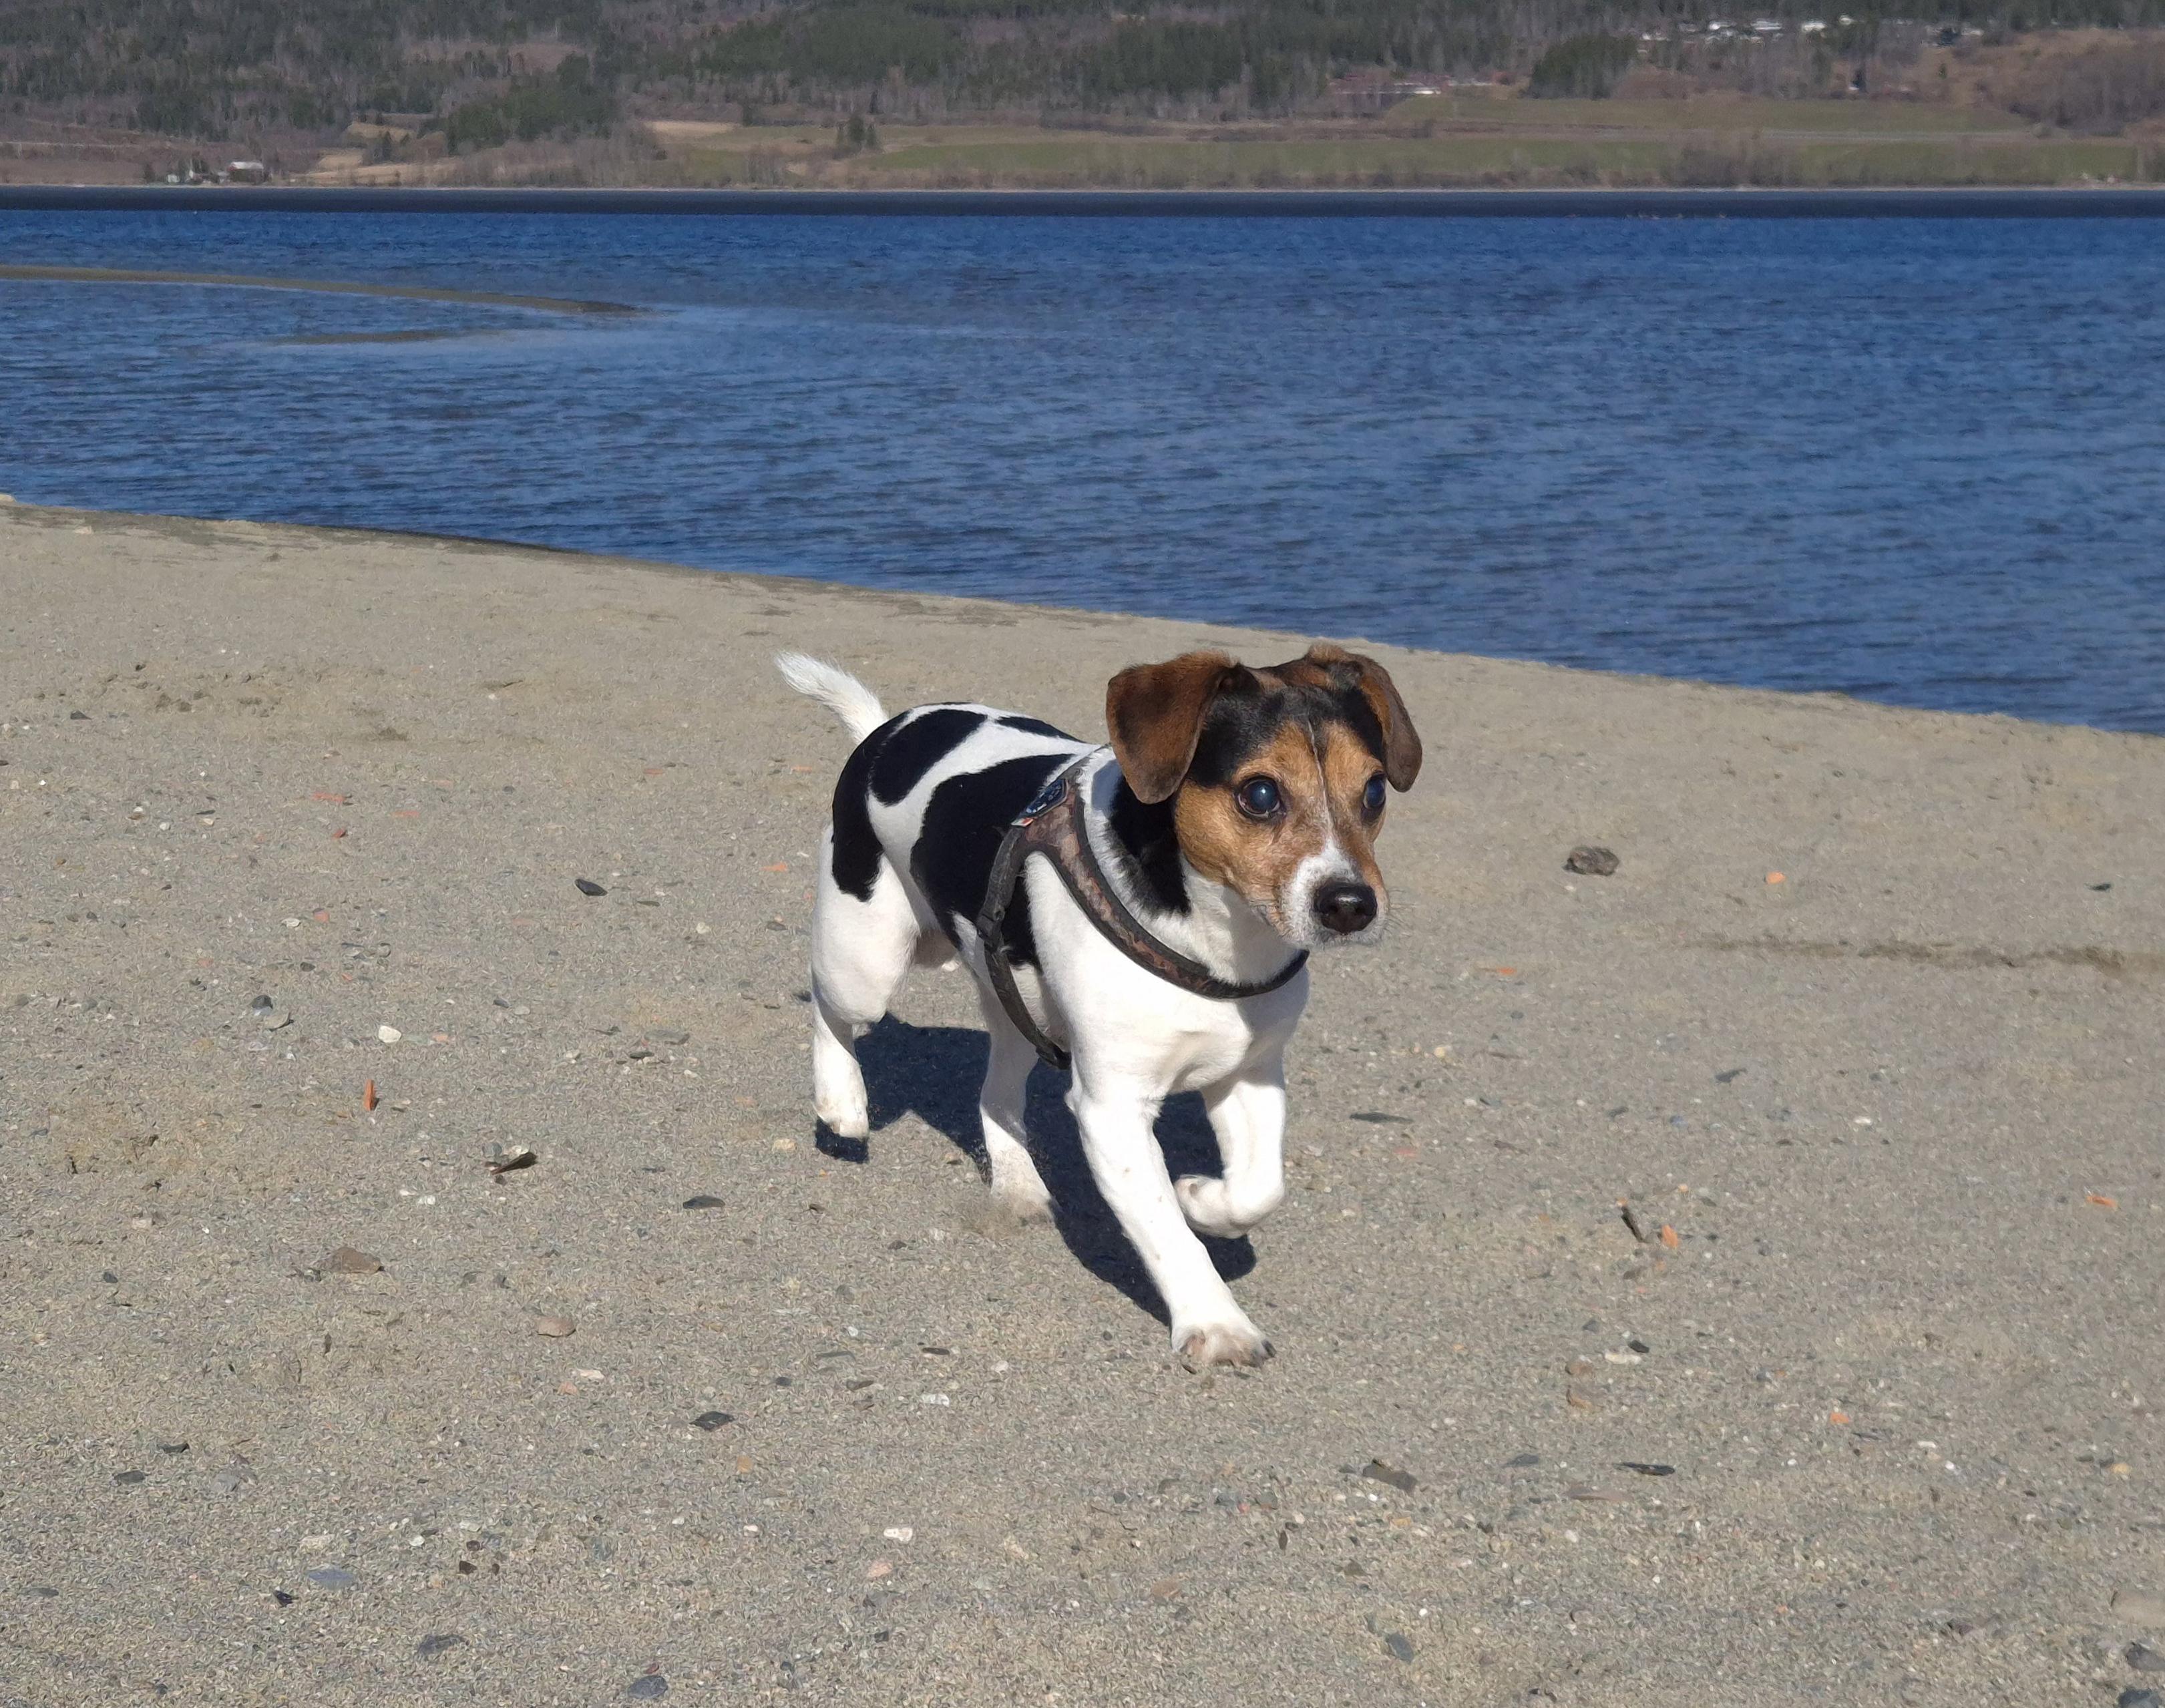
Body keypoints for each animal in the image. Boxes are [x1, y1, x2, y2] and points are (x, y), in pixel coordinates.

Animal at [777, 644, 1421, 1368]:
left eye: (1373, 790)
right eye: (1259, 794)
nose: (1350, 905)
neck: (1216, 940)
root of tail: (882, 731)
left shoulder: (1249, 1074)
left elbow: (1259, 1188)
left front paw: (1202, 1197)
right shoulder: (1113, 1108)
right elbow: (1167, 1233)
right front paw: (1215, 1320)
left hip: (1013, 995)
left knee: (995, 1093)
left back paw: (1016, 1184)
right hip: (866, 959)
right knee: (828, 1007)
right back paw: (842, 1102)